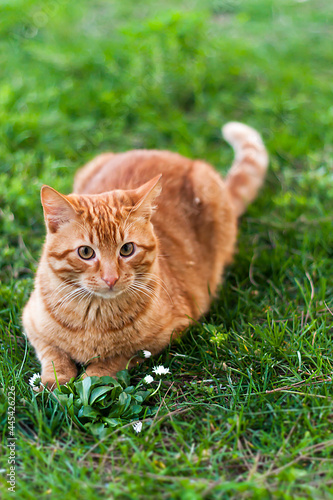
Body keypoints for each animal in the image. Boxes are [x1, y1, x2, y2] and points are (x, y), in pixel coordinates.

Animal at [22, 123, 268, 388]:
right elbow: (53, 354)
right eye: (86, 252)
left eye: (127, 249)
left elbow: (118, 357)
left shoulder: (168, 333)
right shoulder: (31, 323)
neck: (94, 316)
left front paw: (91, 378)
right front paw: (55, 381)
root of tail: (164, 152)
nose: (111, 278)